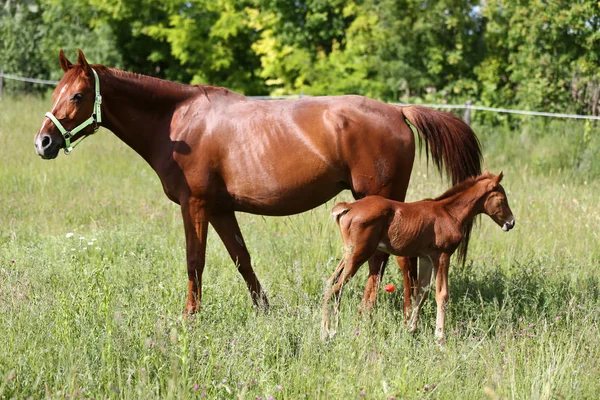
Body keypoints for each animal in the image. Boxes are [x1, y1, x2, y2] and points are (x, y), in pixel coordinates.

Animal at [34, 50, 482, 318]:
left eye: (77, 96)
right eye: (56, 91)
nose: (43, 142)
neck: (178, 122)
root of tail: (398, 110)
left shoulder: (195, 206)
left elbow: (195, 261)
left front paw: (189, 318)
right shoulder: (220, 209)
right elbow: (241, 259)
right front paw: (264, 310)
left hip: (380, 200)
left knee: (391, 259)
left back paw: (386, 315)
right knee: (383, 259)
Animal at [324, 170, 516, 342]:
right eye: (501, 199)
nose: (511, 222)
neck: (449, 212)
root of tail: (348, 207)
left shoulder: (426, 258)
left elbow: (422, 292)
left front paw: (411, 329)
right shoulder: (442, 255)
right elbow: (442, 294)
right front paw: (440, 337)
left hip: (349, 253)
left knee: (330, 283)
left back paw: (331, 330)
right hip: (359, 253)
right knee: (335, 289)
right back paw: (327, 333)